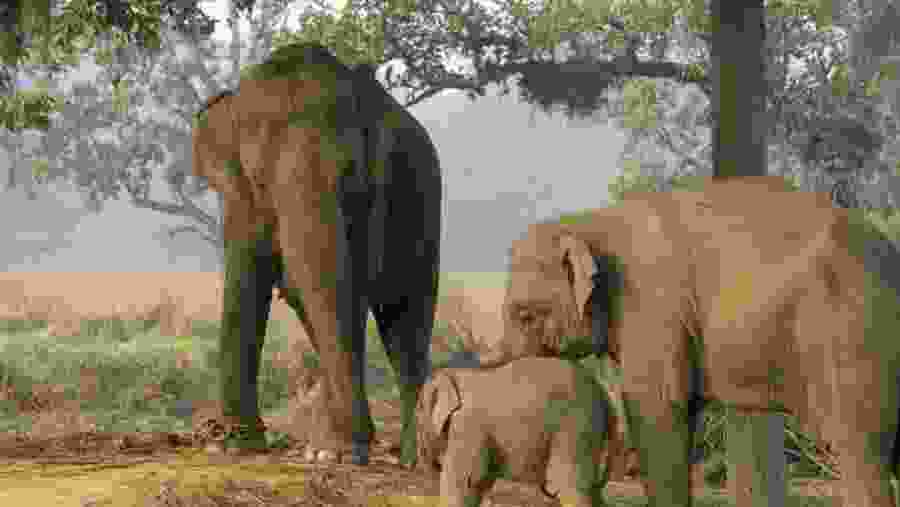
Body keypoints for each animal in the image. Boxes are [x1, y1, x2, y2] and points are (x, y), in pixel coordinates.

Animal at [191, 42, 442, 466]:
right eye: (260, 175)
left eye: (350, 171)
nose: (363, 442)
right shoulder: (242, 196)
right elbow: (254, 280)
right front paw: (235, 445)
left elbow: (347, 289)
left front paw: (336, 452)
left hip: (422, 193)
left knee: (404, 313)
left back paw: (407, 457)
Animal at [416, 356, 633, 507]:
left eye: (418, 409)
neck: (457, 373)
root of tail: (605, 395)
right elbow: (478, 484)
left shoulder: (466, 427)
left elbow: (464, 481)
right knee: (590, 491)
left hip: (576, 427)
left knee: (569, 486)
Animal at [483, 176, 900, 506]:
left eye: (525, 314)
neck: (590, 219)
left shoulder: (652, 308)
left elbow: (657, 409)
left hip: (851, 336)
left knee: (858, 451)